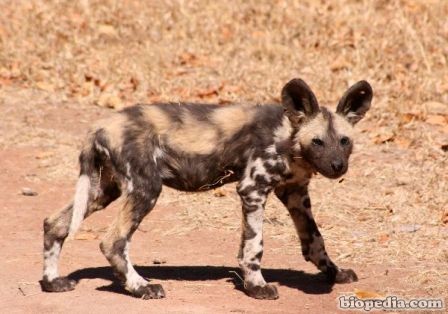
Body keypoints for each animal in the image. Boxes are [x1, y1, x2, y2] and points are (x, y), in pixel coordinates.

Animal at [42, 78, 372, 300]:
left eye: (344, 141)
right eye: (318, 141)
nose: (337, 166)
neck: (289, 138)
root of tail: (99, 126)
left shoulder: (295, 194)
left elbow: (315, 242)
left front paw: (334, 273)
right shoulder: (252, 190)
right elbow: (254, 246)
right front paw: (257, 286)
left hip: (102, 191)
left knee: (55, 224)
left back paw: (52, 282)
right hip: (145, 189)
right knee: (113, 241)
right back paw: (142, 287)